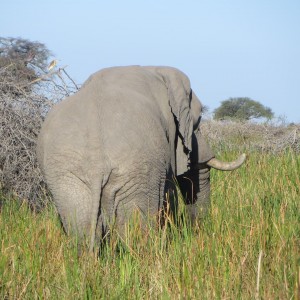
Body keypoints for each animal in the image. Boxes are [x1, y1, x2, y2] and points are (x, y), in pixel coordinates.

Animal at [36, 65, 245, 251]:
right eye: (197, 122)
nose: (196, 233)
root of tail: (96, 163)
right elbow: (169, 193)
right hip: (139, 172)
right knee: (135, 232)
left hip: (66, 178)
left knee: (82, 229)